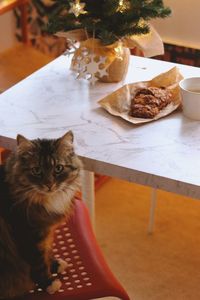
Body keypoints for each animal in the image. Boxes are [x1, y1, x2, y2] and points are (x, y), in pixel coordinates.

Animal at [0, 131, 83, 298]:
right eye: (37, 170)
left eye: (58, 168)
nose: (49, 184)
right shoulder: (27, 234)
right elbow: (38, 263)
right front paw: (49, 283)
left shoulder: (45, 233)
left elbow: (47, 253)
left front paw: (56, 264)